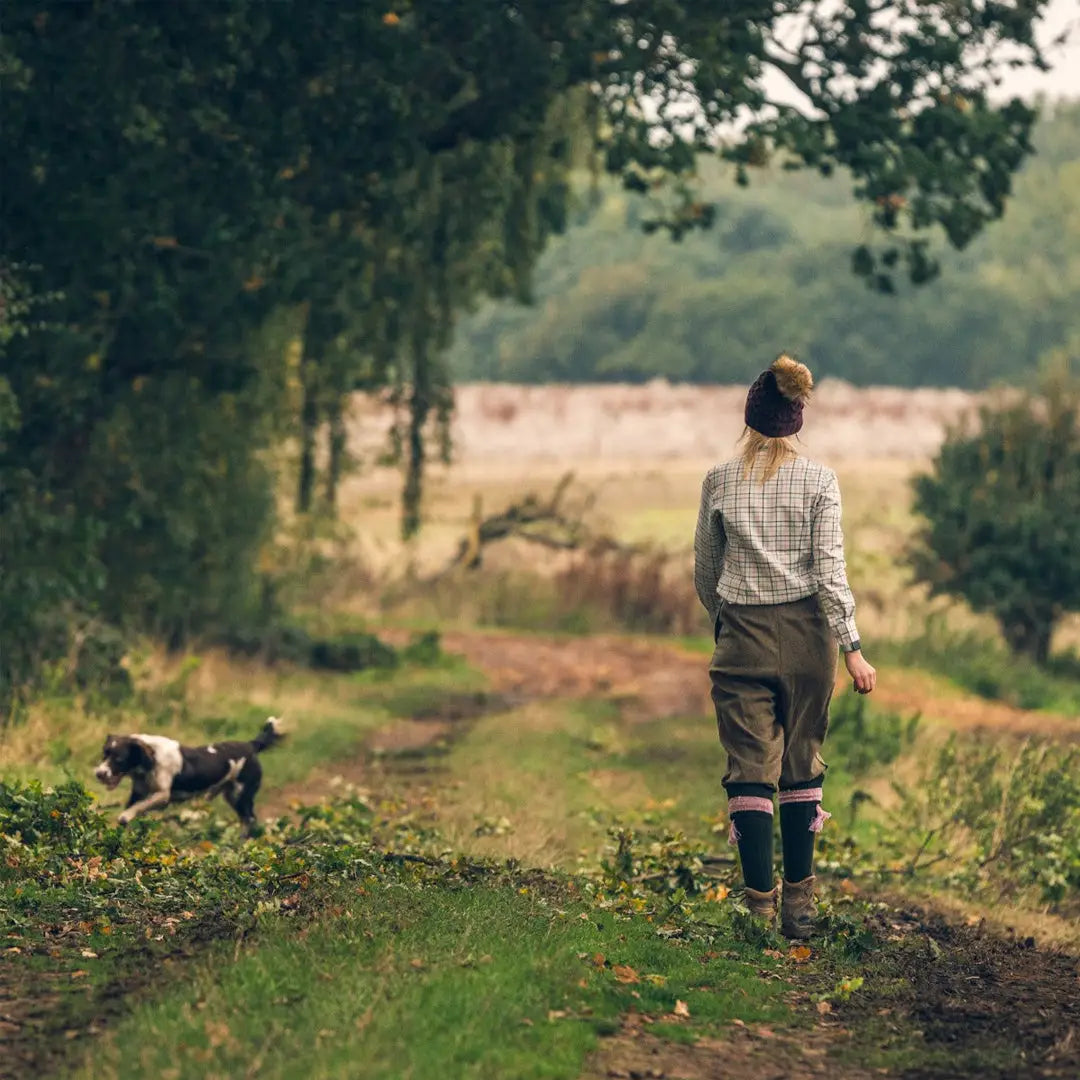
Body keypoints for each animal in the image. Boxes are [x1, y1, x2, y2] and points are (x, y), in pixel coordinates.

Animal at [93, 717, 285, 833]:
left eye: (119, 759)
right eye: (104, 754)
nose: (99, 773)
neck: (151, 759)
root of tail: (250, 745)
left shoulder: (162, 795)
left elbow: (137, 807)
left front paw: (125, 817)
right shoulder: (139, 791)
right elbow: (135, 805)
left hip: (241, 794)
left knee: (251, 819)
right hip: (231, 795)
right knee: (247, 819)